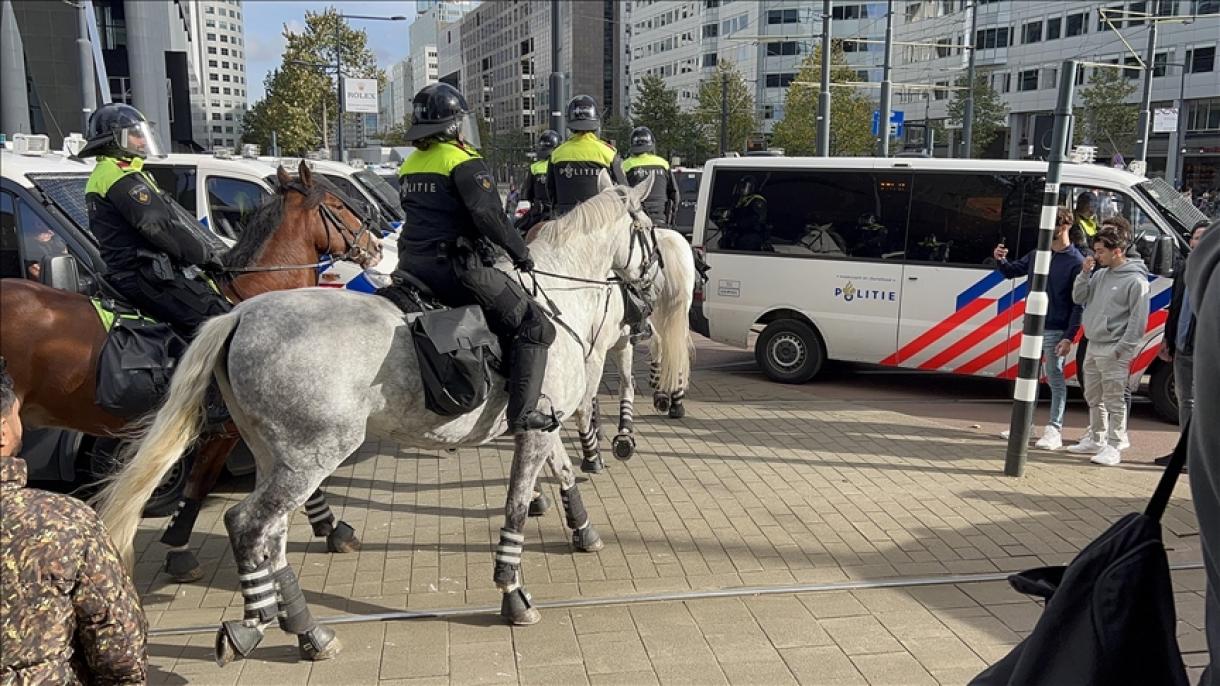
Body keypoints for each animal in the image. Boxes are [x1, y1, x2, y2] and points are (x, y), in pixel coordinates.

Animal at [0, 162, 380, 578]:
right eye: (337, 205)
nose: (376, 245)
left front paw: (331, 528)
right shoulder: (225, 433)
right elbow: (199, 484)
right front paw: (180, 547)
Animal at [96, 181, 673, 664]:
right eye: (649, 229)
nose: (653, 292)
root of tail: (241, 315)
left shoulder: (541, 422)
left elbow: (565, 472)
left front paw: (583, 528)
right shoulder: (535, 428)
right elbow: (515, 506)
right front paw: (512, 590)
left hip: (275, 457)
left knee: (270, 535)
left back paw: (302, 628)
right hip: (310, 457)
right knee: (248, 525)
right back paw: (259, 620)